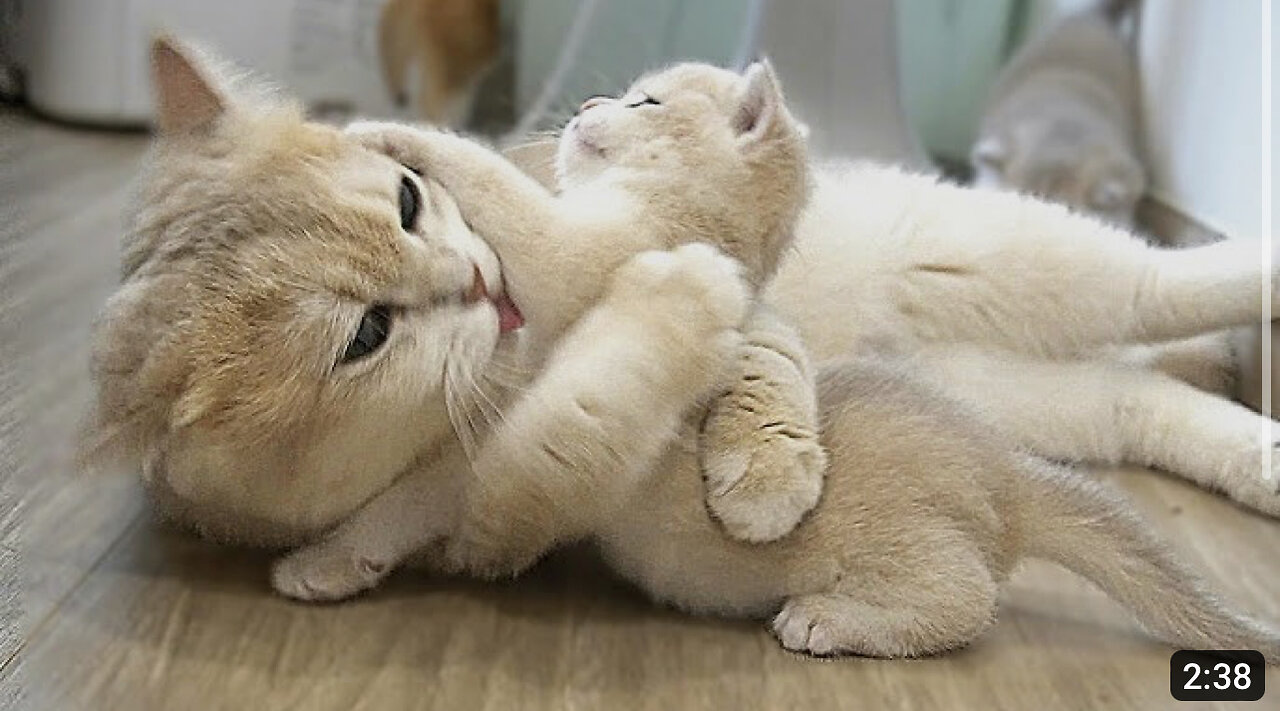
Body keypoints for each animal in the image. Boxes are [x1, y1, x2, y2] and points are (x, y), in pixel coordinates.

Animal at [87, 40, 1280, 661]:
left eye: (648, 95)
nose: (588, 99)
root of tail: (1001, 469)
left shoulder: (569, 258)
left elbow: (503, 196)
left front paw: (405, 137)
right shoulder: (466, 459)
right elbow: (410, 502)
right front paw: (336, 557)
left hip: (1012, 266)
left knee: (1149, 291)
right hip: (1002, 382)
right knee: (1136, 393)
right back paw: (1253, 442)